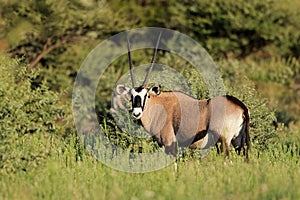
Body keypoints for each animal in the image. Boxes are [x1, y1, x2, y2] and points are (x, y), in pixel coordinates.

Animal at [115, 32, 251, 162]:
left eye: (146, 95)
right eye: (131, 96)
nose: (136, 113)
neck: (159, 107)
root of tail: (241, 107)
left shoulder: (170, 143)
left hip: (223, 141)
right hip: (238, 142)